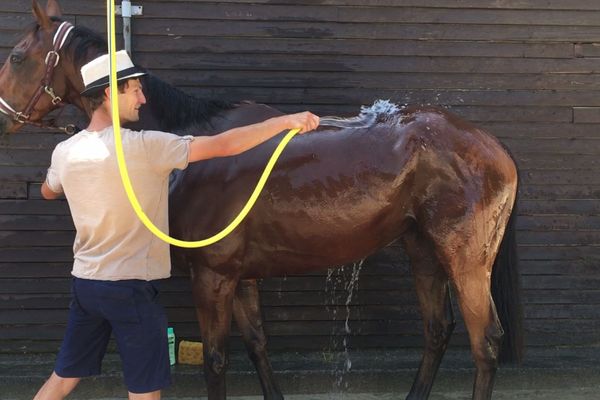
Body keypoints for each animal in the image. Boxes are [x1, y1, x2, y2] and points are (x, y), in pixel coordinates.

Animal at [1, 1, 524, 398]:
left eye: (17, 56)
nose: (2, 116)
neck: (190, 145)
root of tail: (490, 144)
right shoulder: (240, 276)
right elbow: (257, 344)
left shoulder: (212, 276)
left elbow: (216, 359)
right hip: (422, 251)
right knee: (437, 330)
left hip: (465, 258)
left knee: (485, 342)